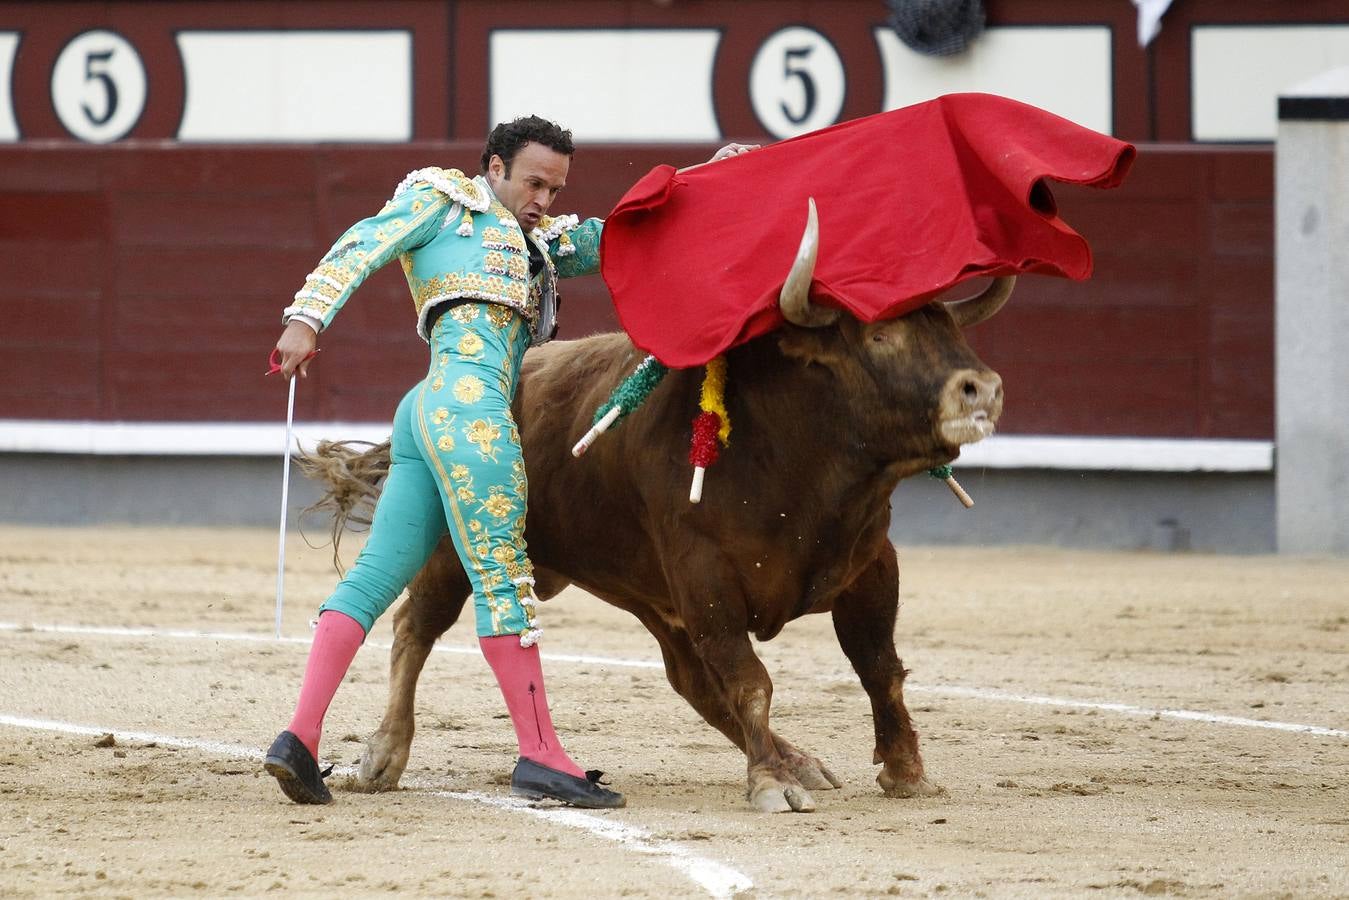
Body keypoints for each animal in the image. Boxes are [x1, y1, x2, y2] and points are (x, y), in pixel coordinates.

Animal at [300, 214, 1009, 814]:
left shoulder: (870, 566)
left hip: (650, 596)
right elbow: (752, 681)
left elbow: (878, 669)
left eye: (952, 331)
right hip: (455, 545)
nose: (982, 388)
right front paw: (773, 785)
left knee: (690, 680)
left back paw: (798, 758)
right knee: (414, 625)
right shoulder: (705, 577)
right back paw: (384, 755)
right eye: (880, 335)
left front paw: (905, 772)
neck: (805, 467)